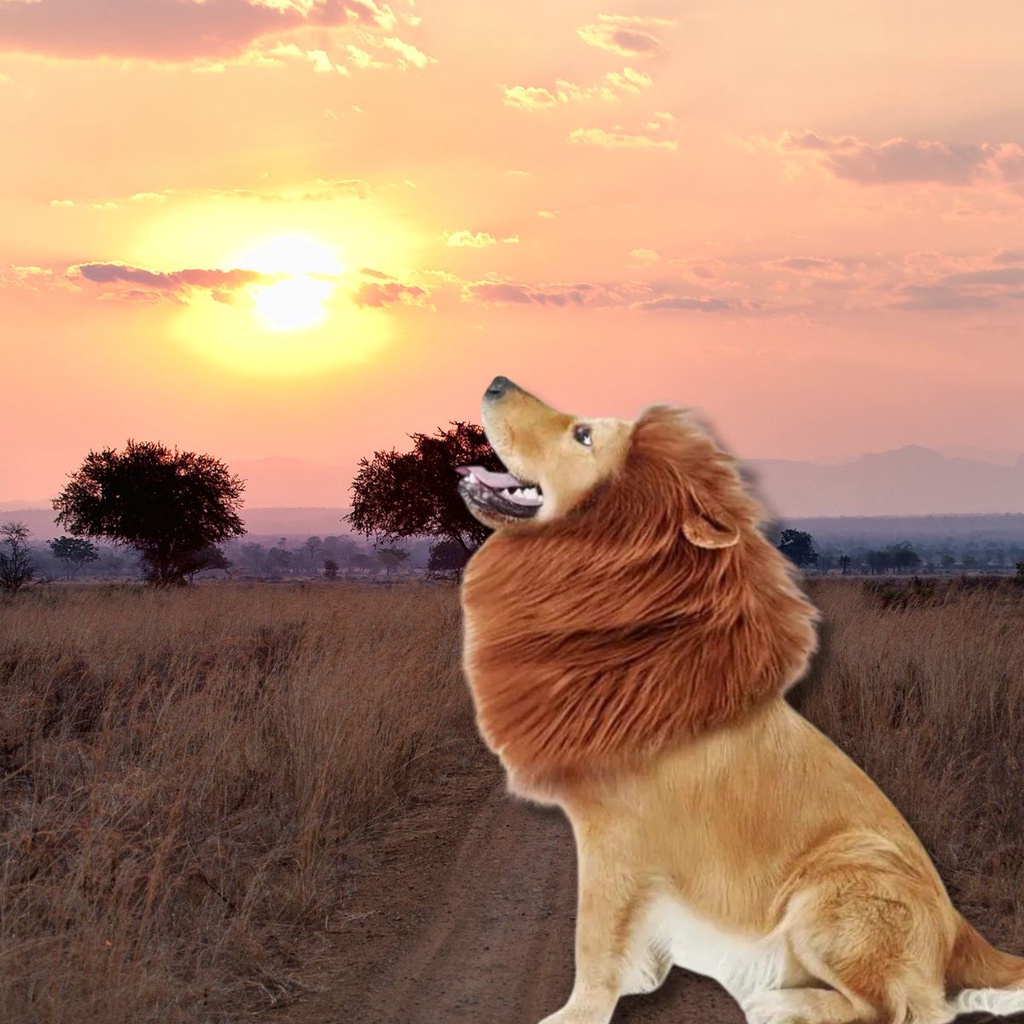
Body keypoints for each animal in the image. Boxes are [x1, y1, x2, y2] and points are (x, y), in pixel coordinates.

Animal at [457, 376, 1024, 1024]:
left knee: (906, 1008)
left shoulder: (616, 839)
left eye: (584, 435)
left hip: (840, 883)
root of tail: (961, 929)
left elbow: (594, 944)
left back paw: (782, 1003)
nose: (496, 381)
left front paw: (576, 1014)